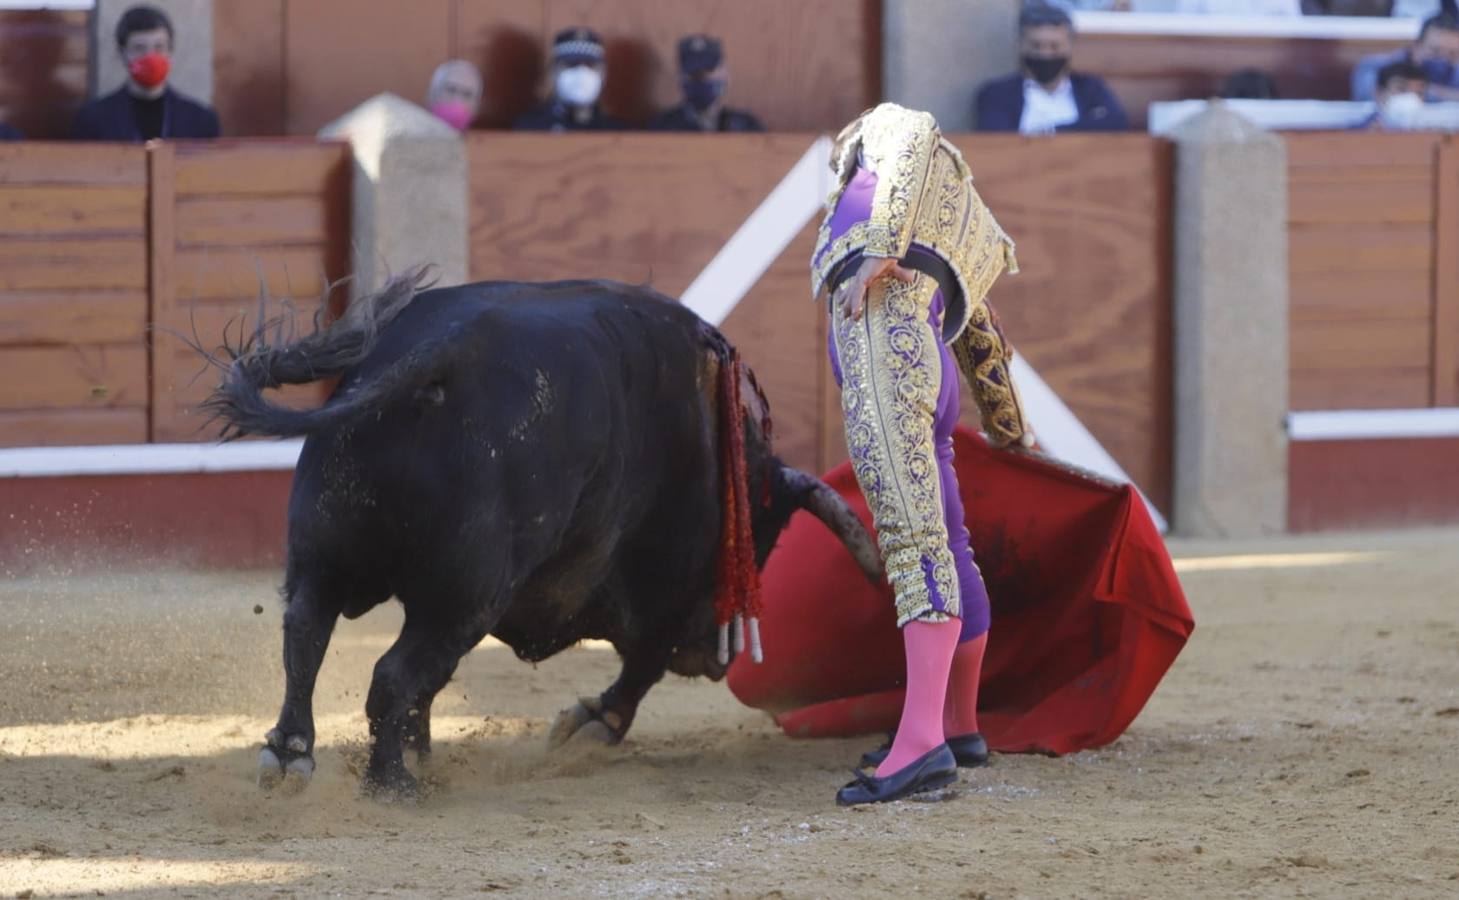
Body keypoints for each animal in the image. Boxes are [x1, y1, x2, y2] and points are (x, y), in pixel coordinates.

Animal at [204, 274, 875, 793]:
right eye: (758, 545)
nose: (715, 657)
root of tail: (438, 352)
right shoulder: (665, 583)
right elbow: (643, 662)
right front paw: (592, 722)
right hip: (463, 599)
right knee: (391, 673)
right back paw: (392, 785)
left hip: (327, 557)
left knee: (307, 633)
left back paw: (292, 756)